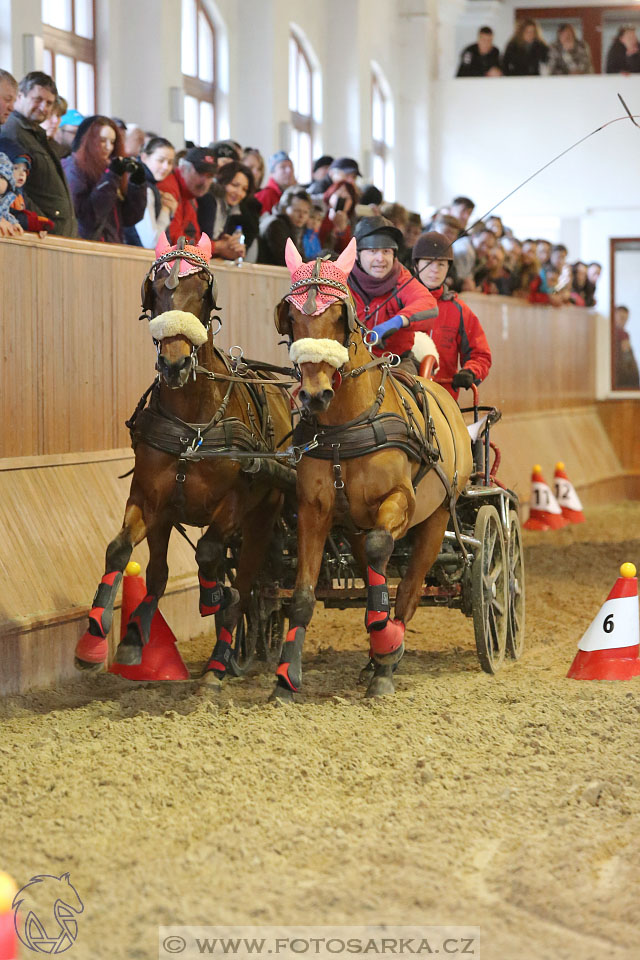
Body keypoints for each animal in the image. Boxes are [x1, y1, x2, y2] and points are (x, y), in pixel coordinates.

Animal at [75, 232, 292, 684]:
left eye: (201, 295)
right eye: (157, 292)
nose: (173, 364)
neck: (192, 421)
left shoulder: (233, 505)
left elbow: (208, 555)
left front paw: (211, 598)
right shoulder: (151, 500)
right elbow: (131, 558)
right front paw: (114, 638)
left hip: (263, 518)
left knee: (245, 588)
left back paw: (219, 660)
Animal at [272, 240, 472, 700]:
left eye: (337, 315)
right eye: (293, 317)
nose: (314, 395)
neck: (347, 426)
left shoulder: (400, 501)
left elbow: (386, 556)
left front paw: (388, 646)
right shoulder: (315, 511)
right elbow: (303, 596)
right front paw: (286, 679)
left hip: (436, 520)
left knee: (409, 592)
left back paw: (387, 656)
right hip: (354, 527)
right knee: (372, 579)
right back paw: (374, 657)